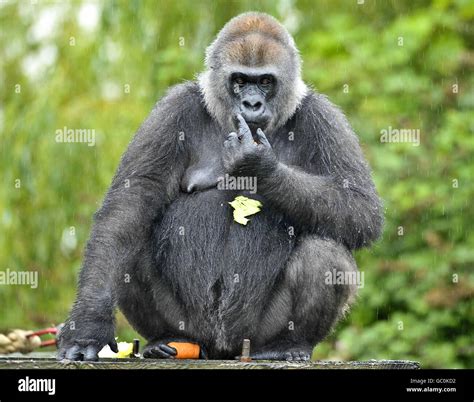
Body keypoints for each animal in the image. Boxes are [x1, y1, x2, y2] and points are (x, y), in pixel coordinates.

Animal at [57, 11, 384, 362]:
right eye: (239, 80)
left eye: (265, 81)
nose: (251, 104)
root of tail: (223, 348)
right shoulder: (173, 109)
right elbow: (128, 207)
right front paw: (88, 325)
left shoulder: (324, 116)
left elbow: (359, 208)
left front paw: (258, 165)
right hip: (194, 329)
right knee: (131, 246)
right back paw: (164, 338)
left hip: (253, 335)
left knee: (324, 253)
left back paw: (289, 344)